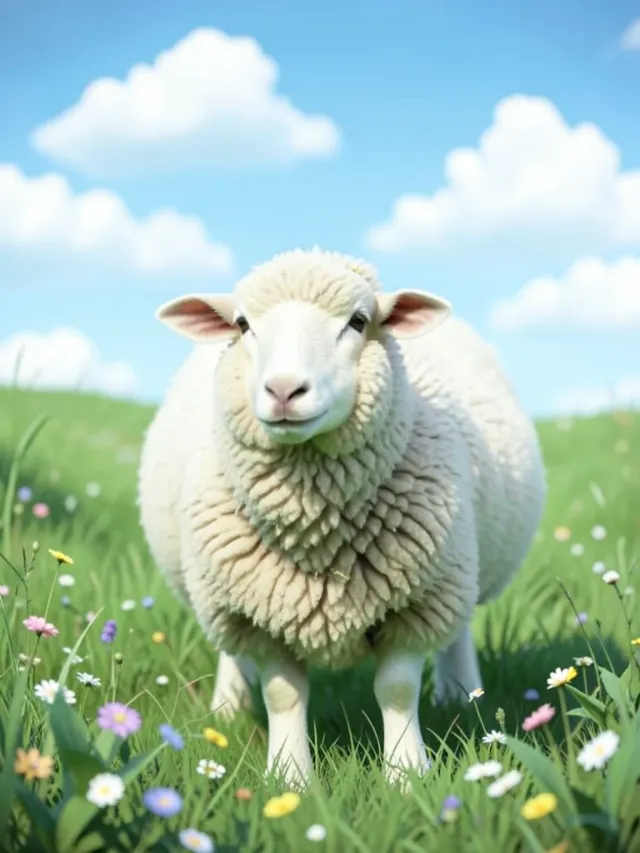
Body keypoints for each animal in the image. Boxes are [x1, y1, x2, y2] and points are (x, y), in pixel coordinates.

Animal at [137, 246, 546, 788]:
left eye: (358, 321)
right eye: (243, 325)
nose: (284, 390)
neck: (316, 525)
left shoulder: (417, 599)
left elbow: (396, 688)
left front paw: (405, 775)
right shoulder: (259, 610)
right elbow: (282, 694)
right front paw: (291, 779)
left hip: (458, 566)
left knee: (457, 630)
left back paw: (460, 694)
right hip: (214, 585)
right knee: (228, 649)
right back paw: (229, 705)